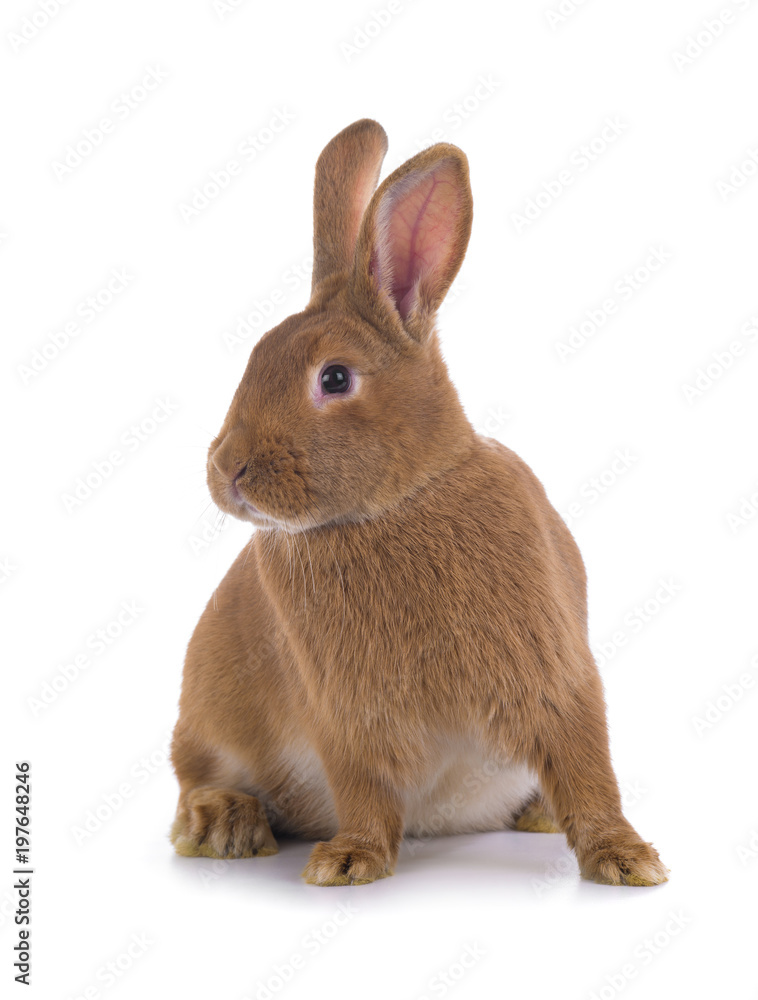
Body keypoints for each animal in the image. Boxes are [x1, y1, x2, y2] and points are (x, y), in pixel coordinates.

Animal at [170, 118, 668, 887]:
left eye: (334, 378)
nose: (229, 471)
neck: (398, 503)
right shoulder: (345, 717)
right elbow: (365, 791)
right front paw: (349, 863)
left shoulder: (558, 677)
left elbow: (589, 772)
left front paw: (628, 861)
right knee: (193, 776)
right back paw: (222, 822)